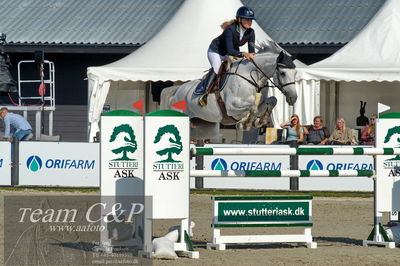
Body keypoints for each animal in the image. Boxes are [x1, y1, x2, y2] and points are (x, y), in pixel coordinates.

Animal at [160, 41, 296, 139]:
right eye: (283, 73)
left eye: (295, 73)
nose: (293, 98)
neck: (253, 78)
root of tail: (177, 90)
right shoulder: (232, 108)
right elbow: (252, 108)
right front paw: (246, 123)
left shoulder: (261, 102)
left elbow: (272, 101)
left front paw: (259, 121)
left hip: (206, 126)